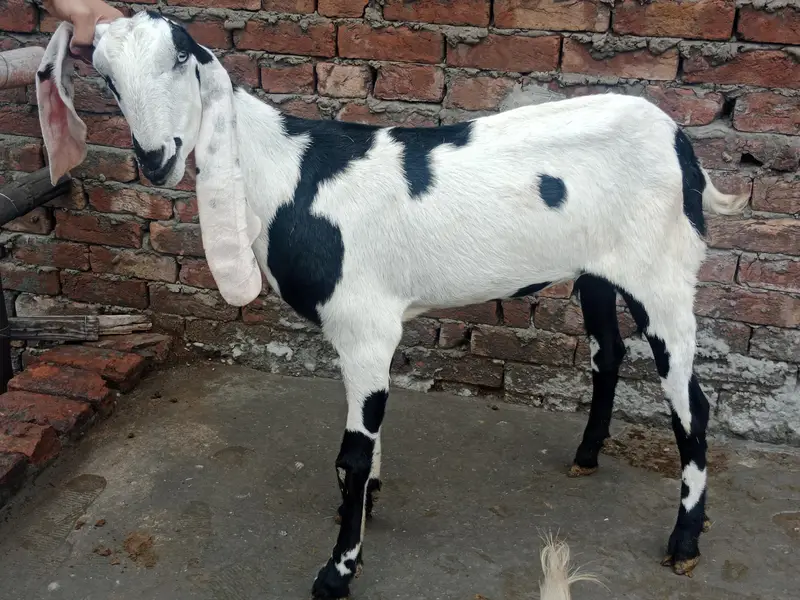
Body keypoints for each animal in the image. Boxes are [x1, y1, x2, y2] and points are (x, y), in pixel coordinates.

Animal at [37, 13, 748, 599]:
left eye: (181, 57)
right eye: (106, 78)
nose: (155, 158)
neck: (289, 175)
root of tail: (680, 141)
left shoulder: (365, 325)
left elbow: (351, 451)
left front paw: (338, 570)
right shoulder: (359, 336)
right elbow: (363, 439)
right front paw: (363, 506)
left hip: (663, 276)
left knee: (691, 405)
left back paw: (685, 541)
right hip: (599, 270)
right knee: (608, 354)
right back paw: (587, 456)